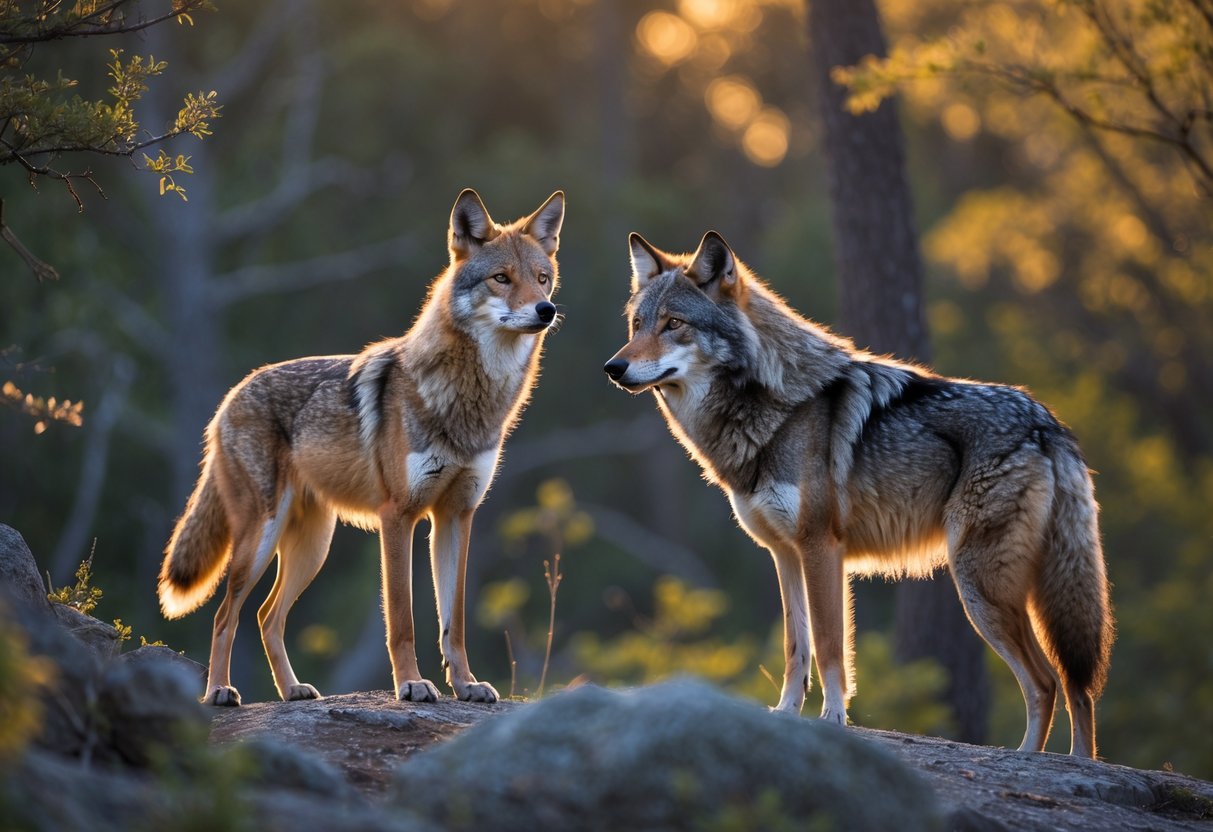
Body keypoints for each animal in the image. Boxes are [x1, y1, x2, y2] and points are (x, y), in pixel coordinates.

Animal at [159, 188, 565, 706]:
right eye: (501, 278)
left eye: (542, 279)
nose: (546, 310)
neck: (471, 402)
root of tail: (232, 395)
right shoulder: (399, 516)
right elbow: (403, 619)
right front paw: (411, 684)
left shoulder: (456, 516)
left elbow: (453, 624)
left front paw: (466, 685)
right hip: (261, 540)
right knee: (224, 615)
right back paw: (218, 692)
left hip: (313, 547)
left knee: (267, 616)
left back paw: (292, 690)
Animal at [604, 230, 1113, 757]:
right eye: (638, 324)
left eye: (674, 324)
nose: (613, 367)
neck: (772, 407)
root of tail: (1047, 424)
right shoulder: (784, 554)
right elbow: (795, 647)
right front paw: (785, 715)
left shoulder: (820, 547)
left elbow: (830, 645)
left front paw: (832, 720)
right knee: (1070, 685)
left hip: (982, 586)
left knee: (1050, 681)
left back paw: (1053, 760)